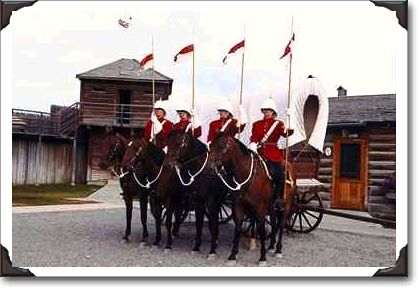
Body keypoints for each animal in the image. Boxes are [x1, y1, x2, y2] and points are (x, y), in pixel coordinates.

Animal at [209, 132, 286, 264]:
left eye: (221, 147)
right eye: (210, 146)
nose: (210, 166)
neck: (246, 174)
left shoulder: (260, 208)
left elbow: (261, 230)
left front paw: (262, 257)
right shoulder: (239, 206)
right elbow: (238, 228)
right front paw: (232, 255)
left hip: (284, 205)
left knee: (281, 223)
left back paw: (278, 250)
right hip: (271, 206)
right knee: (274, 221)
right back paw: (271, 246)